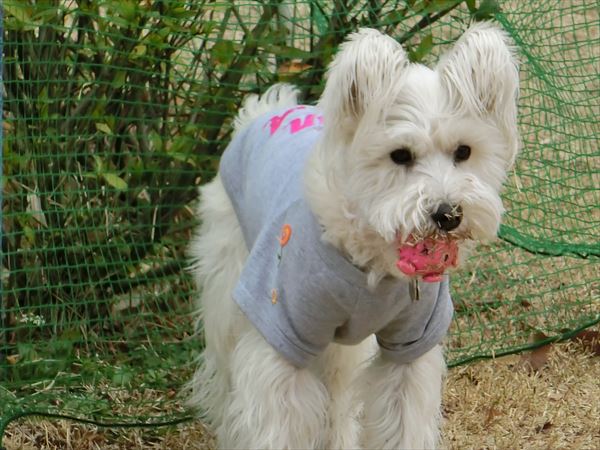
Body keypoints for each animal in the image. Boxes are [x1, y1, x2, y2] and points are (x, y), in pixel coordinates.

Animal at [186, 22, 519, 449]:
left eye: (464, 151)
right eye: (400, 155)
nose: (448, 214)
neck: (373, 260)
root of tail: (264, 111)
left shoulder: (409, 349)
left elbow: (403, 425)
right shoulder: (281, 345)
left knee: (339, 394)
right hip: (229, 299)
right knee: (224, 378)